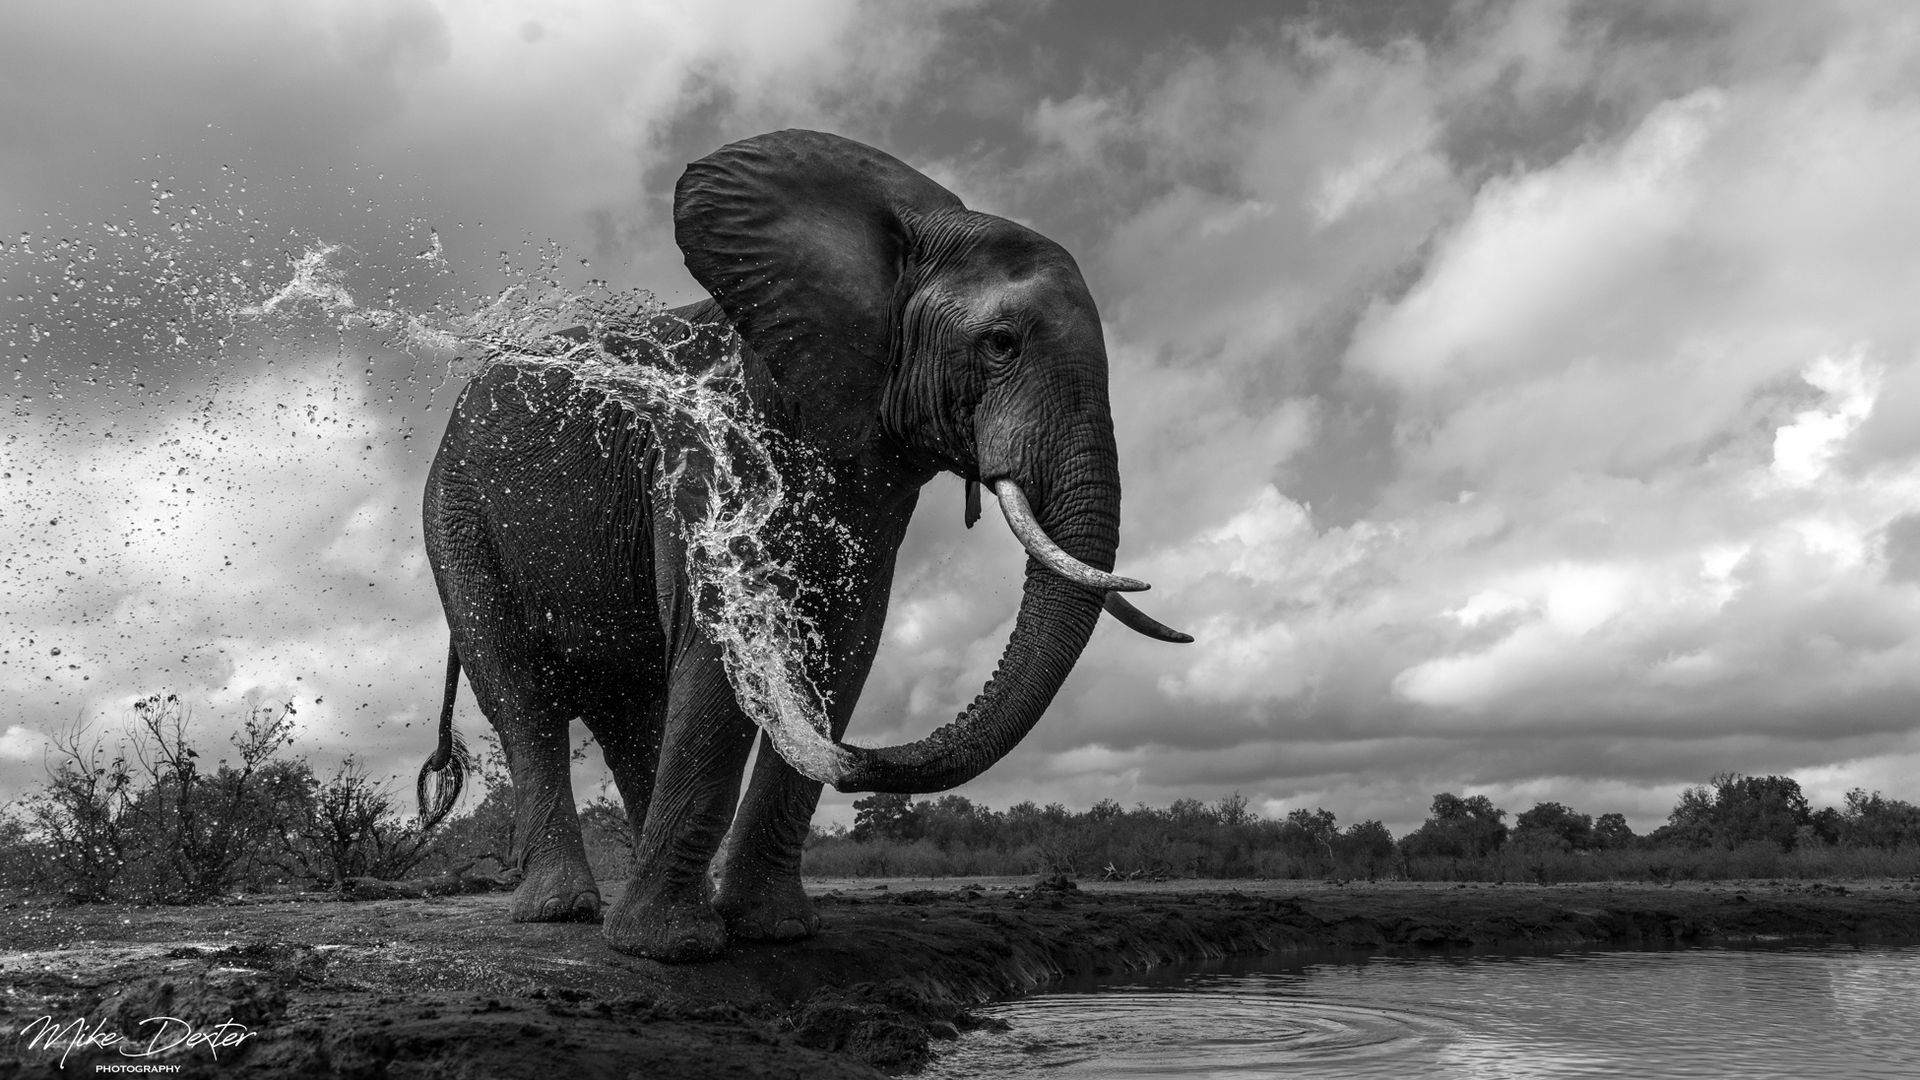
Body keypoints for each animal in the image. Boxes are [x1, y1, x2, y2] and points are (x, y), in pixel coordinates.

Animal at [415, 129, 1188, 962]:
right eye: (1002, 344)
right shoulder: (714, 445)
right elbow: (722, 639)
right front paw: (671, 951)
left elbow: (844, 644)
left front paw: (771, 930)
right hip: (455, 517)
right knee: (521, 697)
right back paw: (563, 913)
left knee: (630, 711)